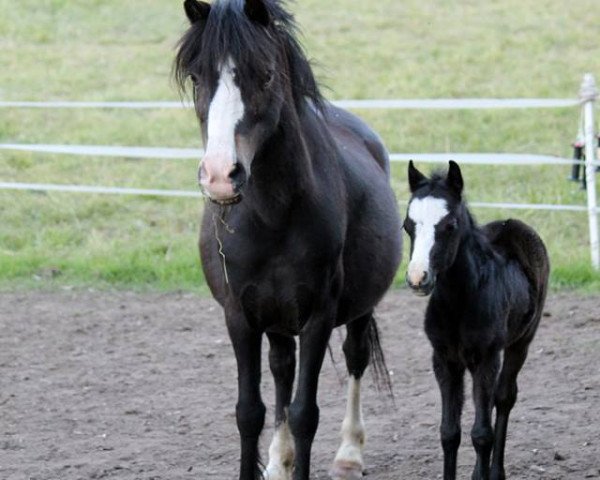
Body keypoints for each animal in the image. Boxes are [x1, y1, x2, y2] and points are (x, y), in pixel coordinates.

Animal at [173, 1, 404, 478]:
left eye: (264, 75)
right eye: (197, 77)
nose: (220, 176)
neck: (272, 217)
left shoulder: (318, 316)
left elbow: (304, 414)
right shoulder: (239, 315)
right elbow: (250, 411)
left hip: (356, 310)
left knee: (354, 358)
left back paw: (349, 453)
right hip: (276, 318)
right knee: (281, 368)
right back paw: (280, 461)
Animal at [404, 162, 548, 480]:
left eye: (450, 225)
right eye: (407, 225)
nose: (418, 278)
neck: (459, 302)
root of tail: (513, 223)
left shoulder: (485, 358)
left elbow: (482, 433)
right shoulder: (444, 360)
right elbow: (449, 432)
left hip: (522, 342)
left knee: (503, 398)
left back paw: (495, 472)